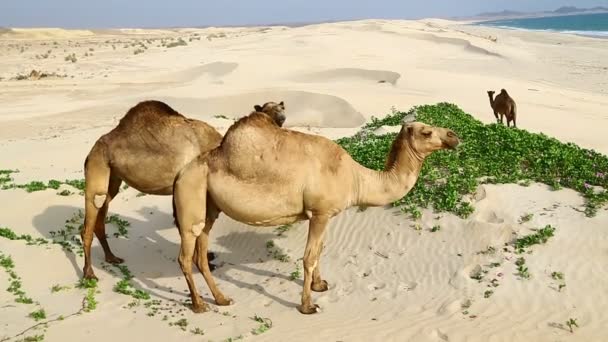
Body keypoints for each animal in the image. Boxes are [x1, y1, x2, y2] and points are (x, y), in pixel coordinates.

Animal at [81, 99, 288, 280]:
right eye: (269, 109)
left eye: (281, 107)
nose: (282, 117)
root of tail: (92, 150)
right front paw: (207, 262)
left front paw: (208, 257)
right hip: (97, 166)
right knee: (91, 214)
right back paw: (89, 273)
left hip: (113, 177)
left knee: (102, 211)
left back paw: (111, 257)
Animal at [173, 111, 458, 314]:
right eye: (427, 131)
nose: (454, 135)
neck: (356, 178)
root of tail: (181, 173)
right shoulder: (319, 212)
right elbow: (309, 257)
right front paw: (307, 305)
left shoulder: (327, 215)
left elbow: (320, 250)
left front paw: (320, 286)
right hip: (190, 194)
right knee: (185, 255)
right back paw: (199, 305)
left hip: (209, 206)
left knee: (201, 251)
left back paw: (222, 299)